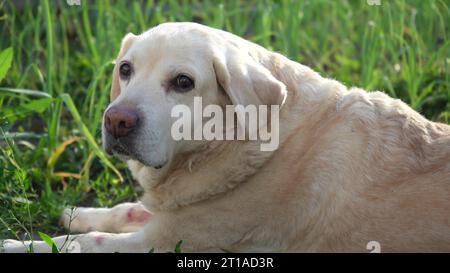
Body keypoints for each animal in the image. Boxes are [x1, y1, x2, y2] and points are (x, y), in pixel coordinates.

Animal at [1, 22, 448, 252]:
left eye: (183, 82)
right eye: (125, 70)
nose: (116, 121)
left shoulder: (169, 241)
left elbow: (81, 243)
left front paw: (20, 246)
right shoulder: (175, 212)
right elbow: (126, 209)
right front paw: (78, 212)